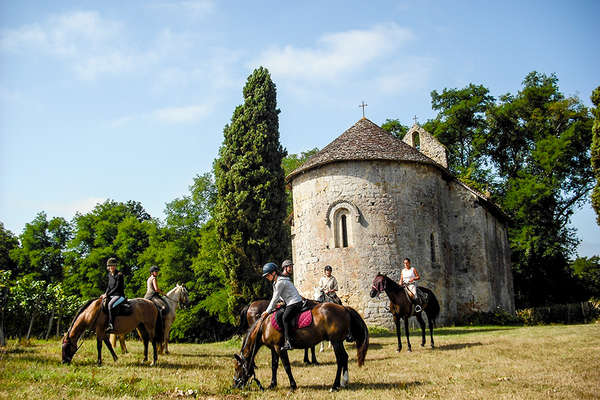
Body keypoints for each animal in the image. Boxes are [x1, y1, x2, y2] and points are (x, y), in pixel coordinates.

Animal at [232, 304, 368, 390]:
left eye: (237, 368)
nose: (234, 385)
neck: (264, 326)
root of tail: (344, 308)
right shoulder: (273, 349)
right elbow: (274, 366)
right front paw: (272, 384)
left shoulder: (279, 348)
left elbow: (286, 366)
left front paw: (292, 385)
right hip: (338, 342)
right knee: (345, 357)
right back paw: (344, 382)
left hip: (335, 342)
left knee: (340, 360)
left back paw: (335, 386)